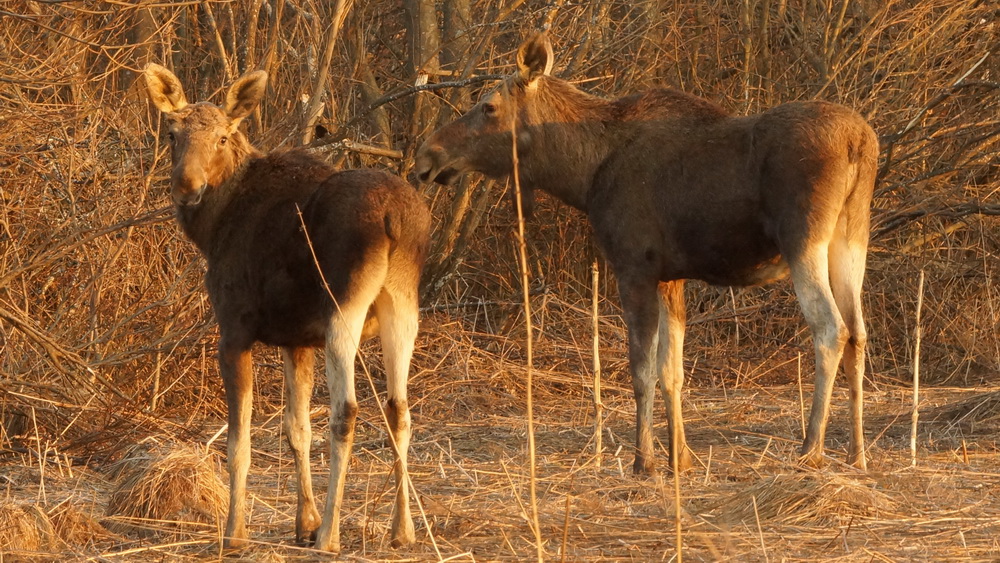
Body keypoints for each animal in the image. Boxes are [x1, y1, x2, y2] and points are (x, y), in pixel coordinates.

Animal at [142, 64, 430, 552]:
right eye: (171, 133)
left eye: (223, 137)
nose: (186, 187)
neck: (212, 229)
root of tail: (394, 216)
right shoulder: (297, 340)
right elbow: (297, 430)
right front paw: (304, 522)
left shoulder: (234, 330)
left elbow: (238, 444)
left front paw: (236, 532)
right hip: (403, 304)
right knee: (399, 409)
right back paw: (401, 530)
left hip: (344, 306)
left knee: (347, 411)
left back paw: (332, 535)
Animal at [414, 34, 876, 476]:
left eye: (488, 106)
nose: (427, 155)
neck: (581, 174)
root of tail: (860, 142)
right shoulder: (671, 276)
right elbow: (672, 371)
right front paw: (681, 459)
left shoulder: (633, 266)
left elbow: (641, 371)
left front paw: (645, 462)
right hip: (851, 239)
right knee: (858, 331)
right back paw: (856, 454)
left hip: (803, 241)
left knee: (830, 329)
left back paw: (811, 448)